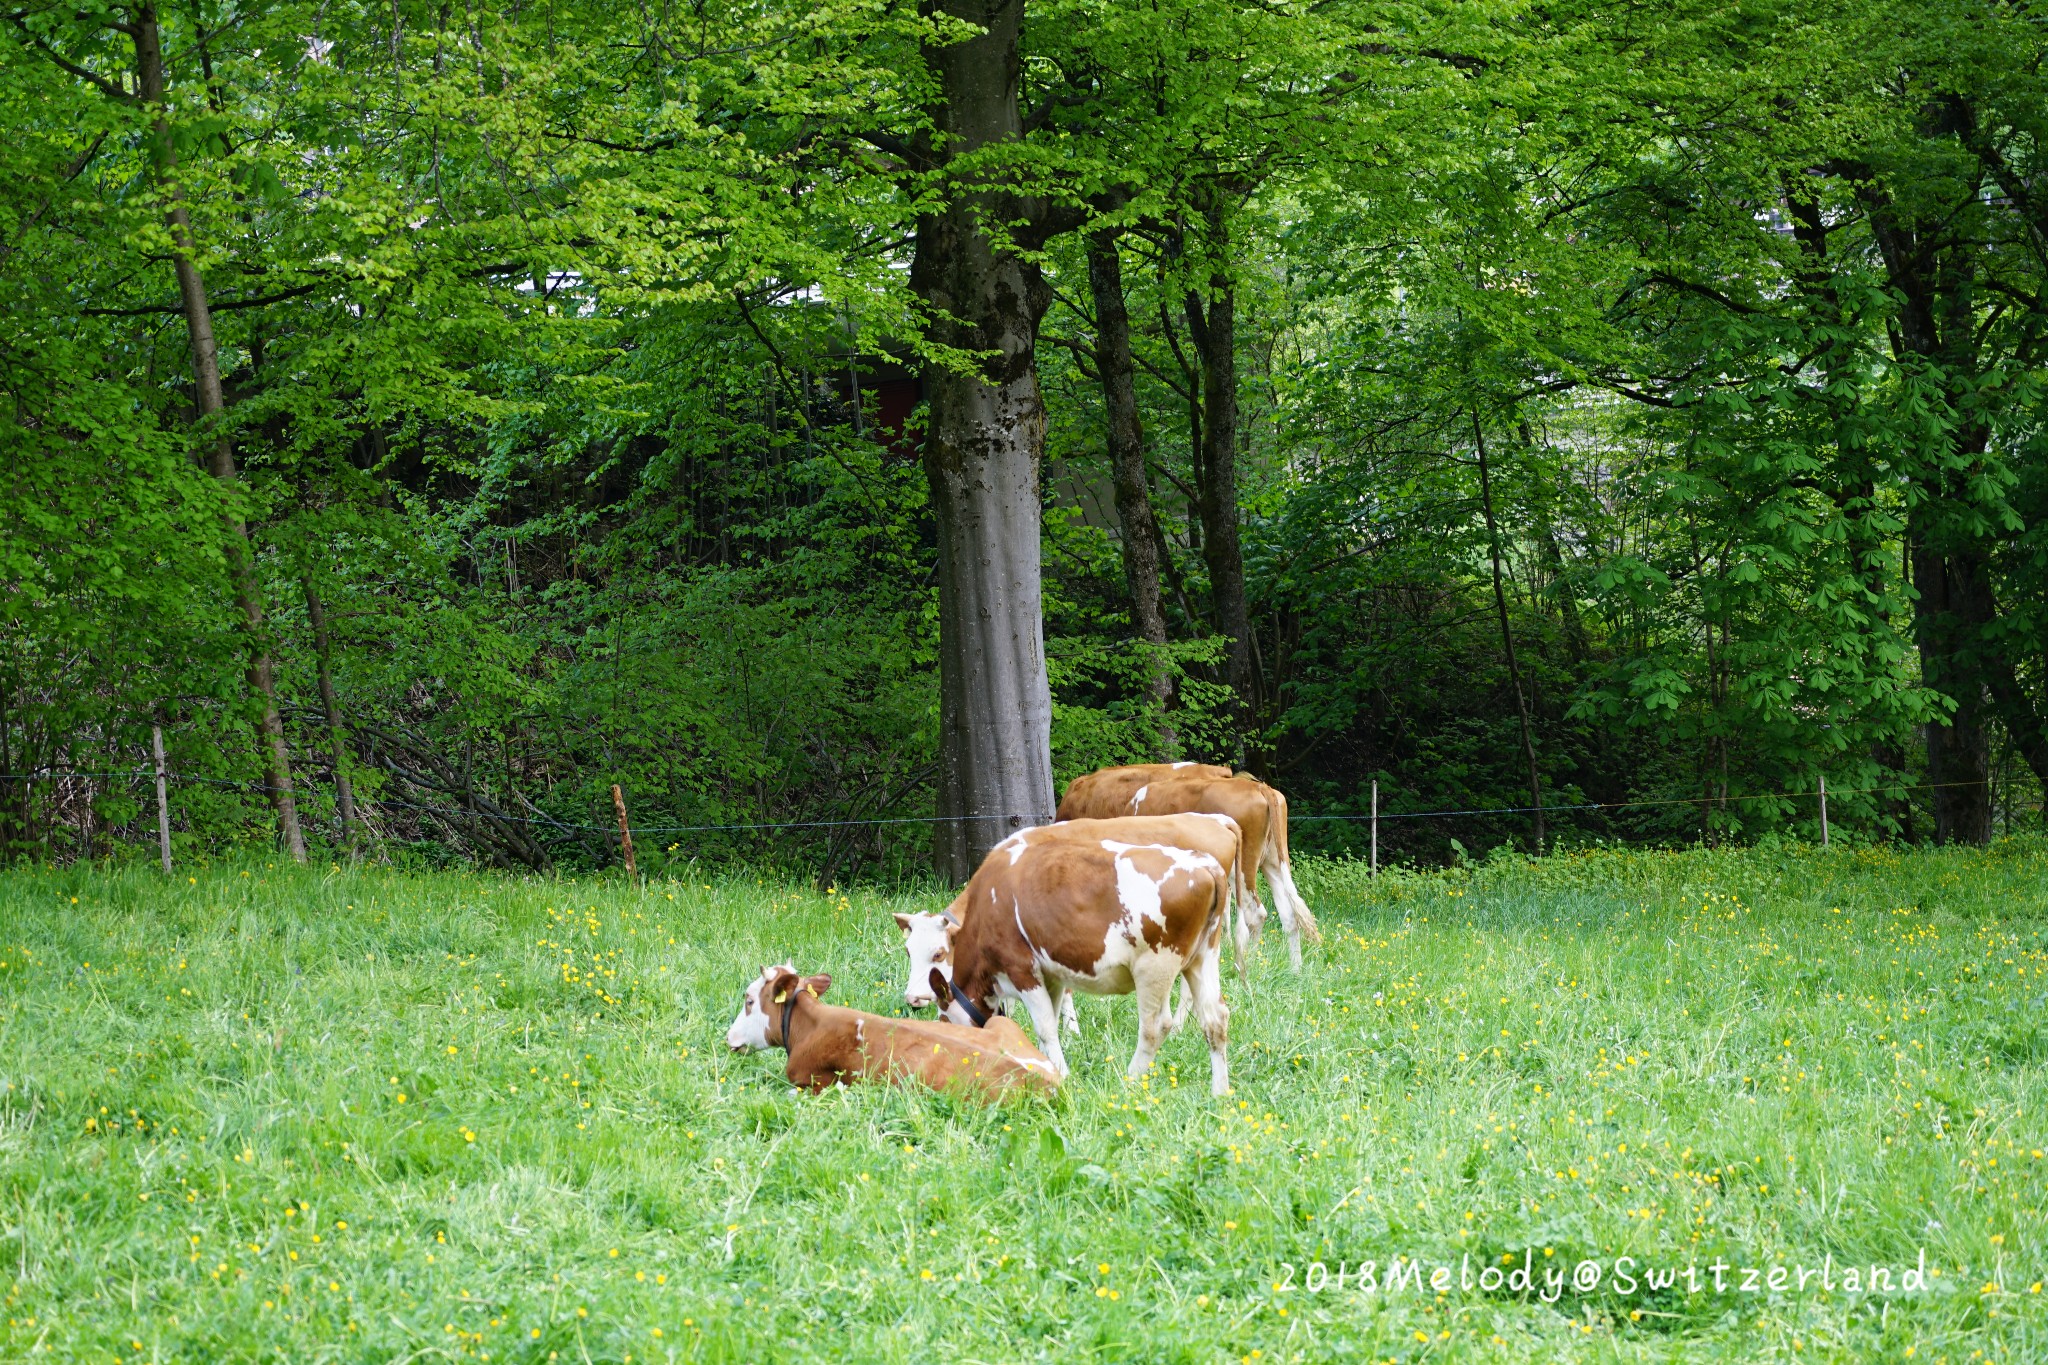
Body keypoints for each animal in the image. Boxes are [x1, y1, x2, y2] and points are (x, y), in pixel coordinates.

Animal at [892, 810, 1228, 1096]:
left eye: (939, 954)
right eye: (908, 952)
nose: (912, 998)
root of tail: (1205, 865)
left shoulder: (1021, 968)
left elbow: (1045, 1029)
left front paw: (1061, 1076)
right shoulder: (1051, 973)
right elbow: (1048, 1023)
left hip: (1155, 964)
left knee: (1155, 1027)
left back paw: (1129, 1083)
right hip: (1203, 957)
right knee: (1215, 1019)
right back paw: (1220, 1094)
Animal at [1048, 769, 1318, 970]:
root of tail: (1259, 787)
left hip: (1243, 867)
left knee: (1256, 913)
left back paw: (1249, 963)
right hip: (1272, 862)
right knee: (1289, 914)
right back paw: (1295, 968)